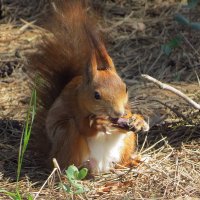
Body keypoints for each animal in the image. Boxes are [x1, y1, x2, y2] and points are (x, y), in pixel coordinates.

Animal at [28, 0, 149, 173]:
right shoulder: (76, 107)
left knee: (121, 160)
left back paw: (131, 162)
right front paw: (97, 124)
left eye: (125, 88)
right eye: (96, 95)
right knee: (69, 160)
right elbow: (84, 127)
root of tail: (101, 166)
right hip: (67, 140)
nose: (118, 112)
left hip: (127, 142)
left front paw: (138, 120)